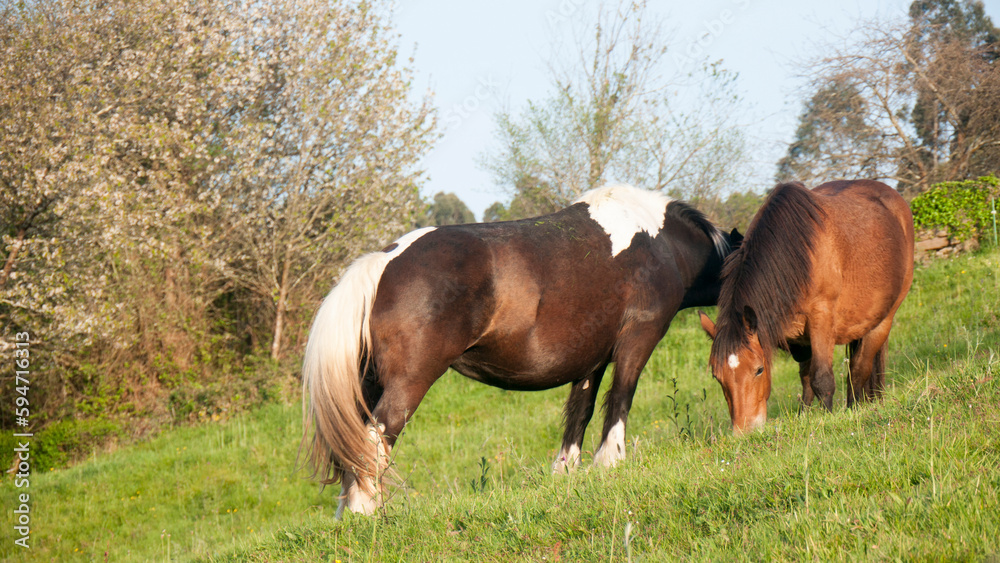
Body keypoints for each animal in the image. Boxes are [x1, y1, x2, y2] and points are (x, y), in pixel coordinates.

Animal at [302, 183, 740, 517]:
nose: (746, 426)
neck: (661, 243)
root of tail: (385, 262)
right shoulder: (637, 339)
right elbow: (620, 400)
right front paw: (610, 464)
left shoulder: (592, 359)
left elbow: (578, 415)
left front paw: (565, 475)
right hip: (407, 385)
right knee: (374, 439)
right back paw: (365, 512)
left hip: (369, 385)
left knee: (353, 445)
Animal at [698, 180, 914, 434]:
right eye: (717, 376)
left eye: (759, 369)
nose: (744, 432)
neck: (798, 257)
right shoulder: (799, 338)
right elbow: (805, 379)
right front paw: (804, 417)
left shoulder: (821, 320)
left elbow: (821, 378)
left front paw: (828, 418)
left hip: (883, 321)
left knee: (859, 369)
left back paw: (853, 409)